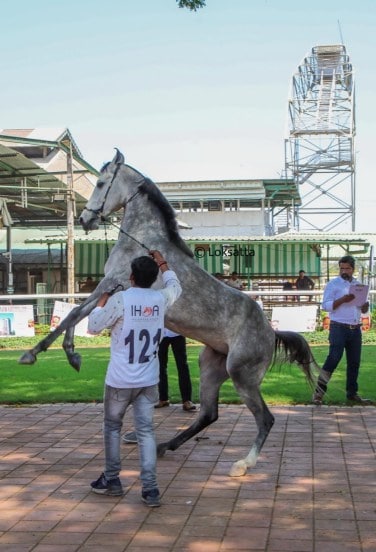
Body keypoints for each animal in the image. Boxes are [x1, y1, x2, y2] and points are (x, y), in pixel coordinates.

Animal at [19, 149, 316, 476]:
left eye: (100, 183)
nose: (85, 220)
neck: (144, 240)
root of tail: (271, 332)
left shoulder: (111, 283)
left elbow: (74, 314)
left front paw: (37, 354)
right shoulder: (112, 288)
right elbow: (76, 313)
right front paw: (69, 355)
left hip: (241, 374)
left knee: (265, 418)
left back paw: (242, 463)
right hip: (211, 366)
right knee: (209, 414)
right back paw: (164, 446)